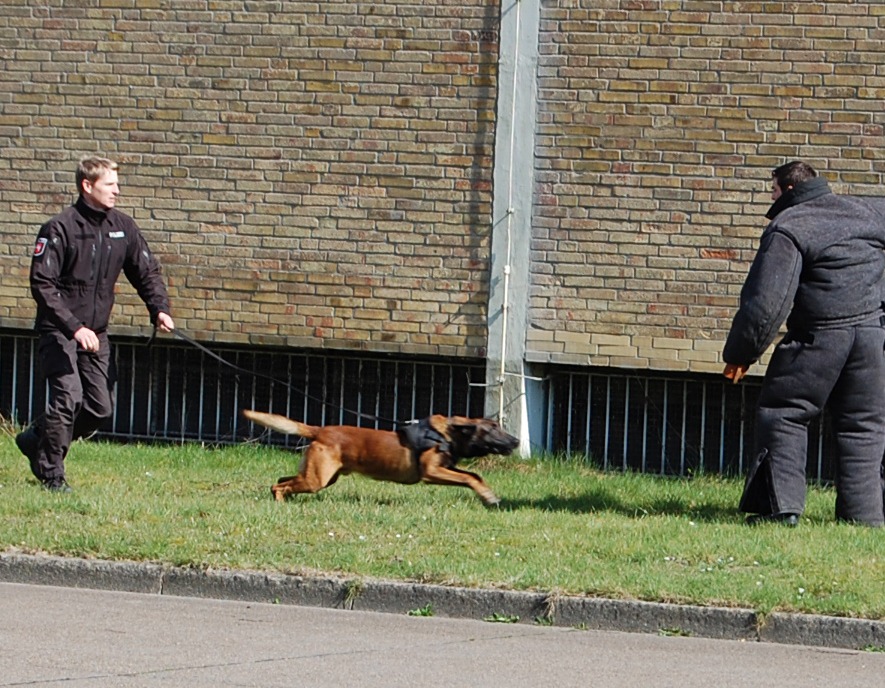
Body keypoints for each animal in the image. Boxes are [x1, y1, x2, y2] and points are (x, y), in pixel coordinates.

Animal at [242, 408, 516, 506]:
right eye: (492, 429)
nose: (516, 441)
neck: (447, 434)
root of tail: (320, 430)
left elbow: (474, 475)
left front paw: (488, 495)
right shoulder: (432, 472)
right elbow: (469, 478)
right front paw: (488, 496)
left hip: (322, 477)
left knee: (281, 480)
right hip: (316, 480)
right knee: (278, 485)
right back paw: (280, 502)